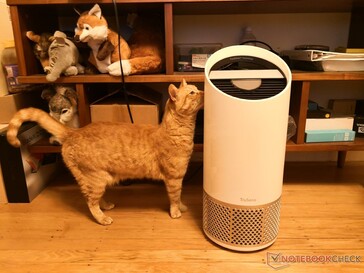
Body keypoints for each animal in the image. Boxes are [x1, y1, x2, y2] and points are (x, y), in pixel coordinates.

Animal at [7, 79, 203, 224]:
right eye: (192, 93)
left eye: (196, 89)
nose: (202, 91)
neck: (178, 132)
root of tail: (74, 131)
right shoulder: (173, 178)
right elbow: (175, 196)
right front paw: (176, 211)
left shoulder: (178, 177)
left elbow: (179, 196)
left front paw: (182, 207)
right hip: (97, 178)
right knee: (90, 201)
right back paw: (102, 218)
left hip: (97, 179)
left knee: (92, 197)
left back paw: (106, 205)